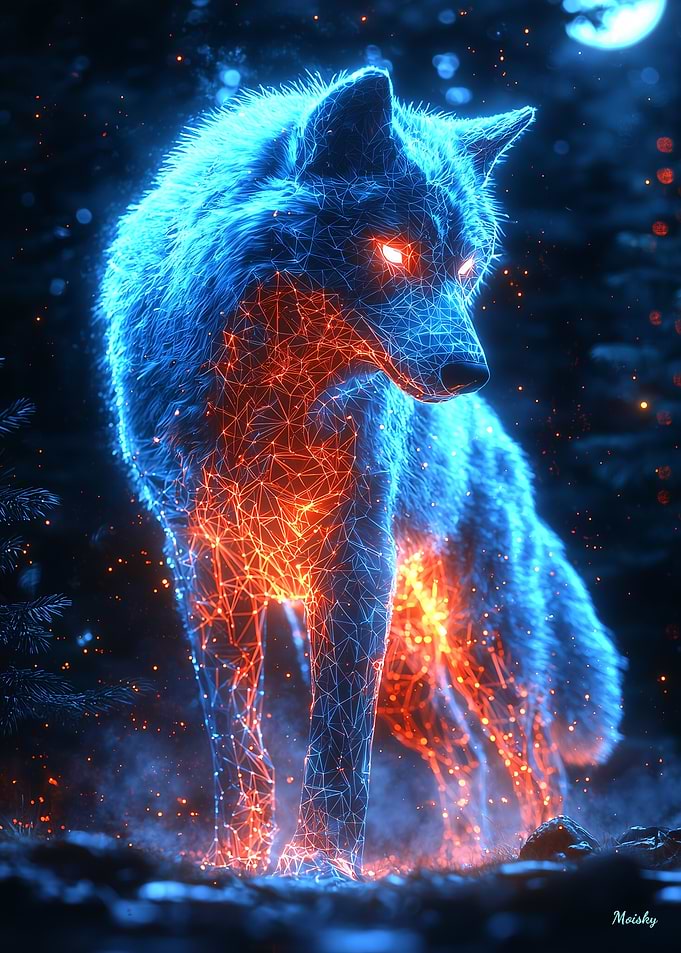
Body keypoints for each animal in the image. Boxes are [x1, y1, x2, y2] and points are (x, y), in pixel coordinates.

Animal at [101, 67, 624, 880]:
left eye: (464, 267)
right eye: (391, 251)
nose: (468, 373)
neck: (270, 397)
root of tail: (500, 444)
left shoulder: (350, 565)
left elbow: (339, 739)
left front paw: (319, 860)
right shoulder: (205, 563)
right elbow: (237, 743)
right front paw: (236, 855)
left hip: (485, 645)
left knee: (534, 756)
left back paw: (551, 841)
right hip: (411, 670)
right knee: (463, 753)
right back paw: (456, 854)